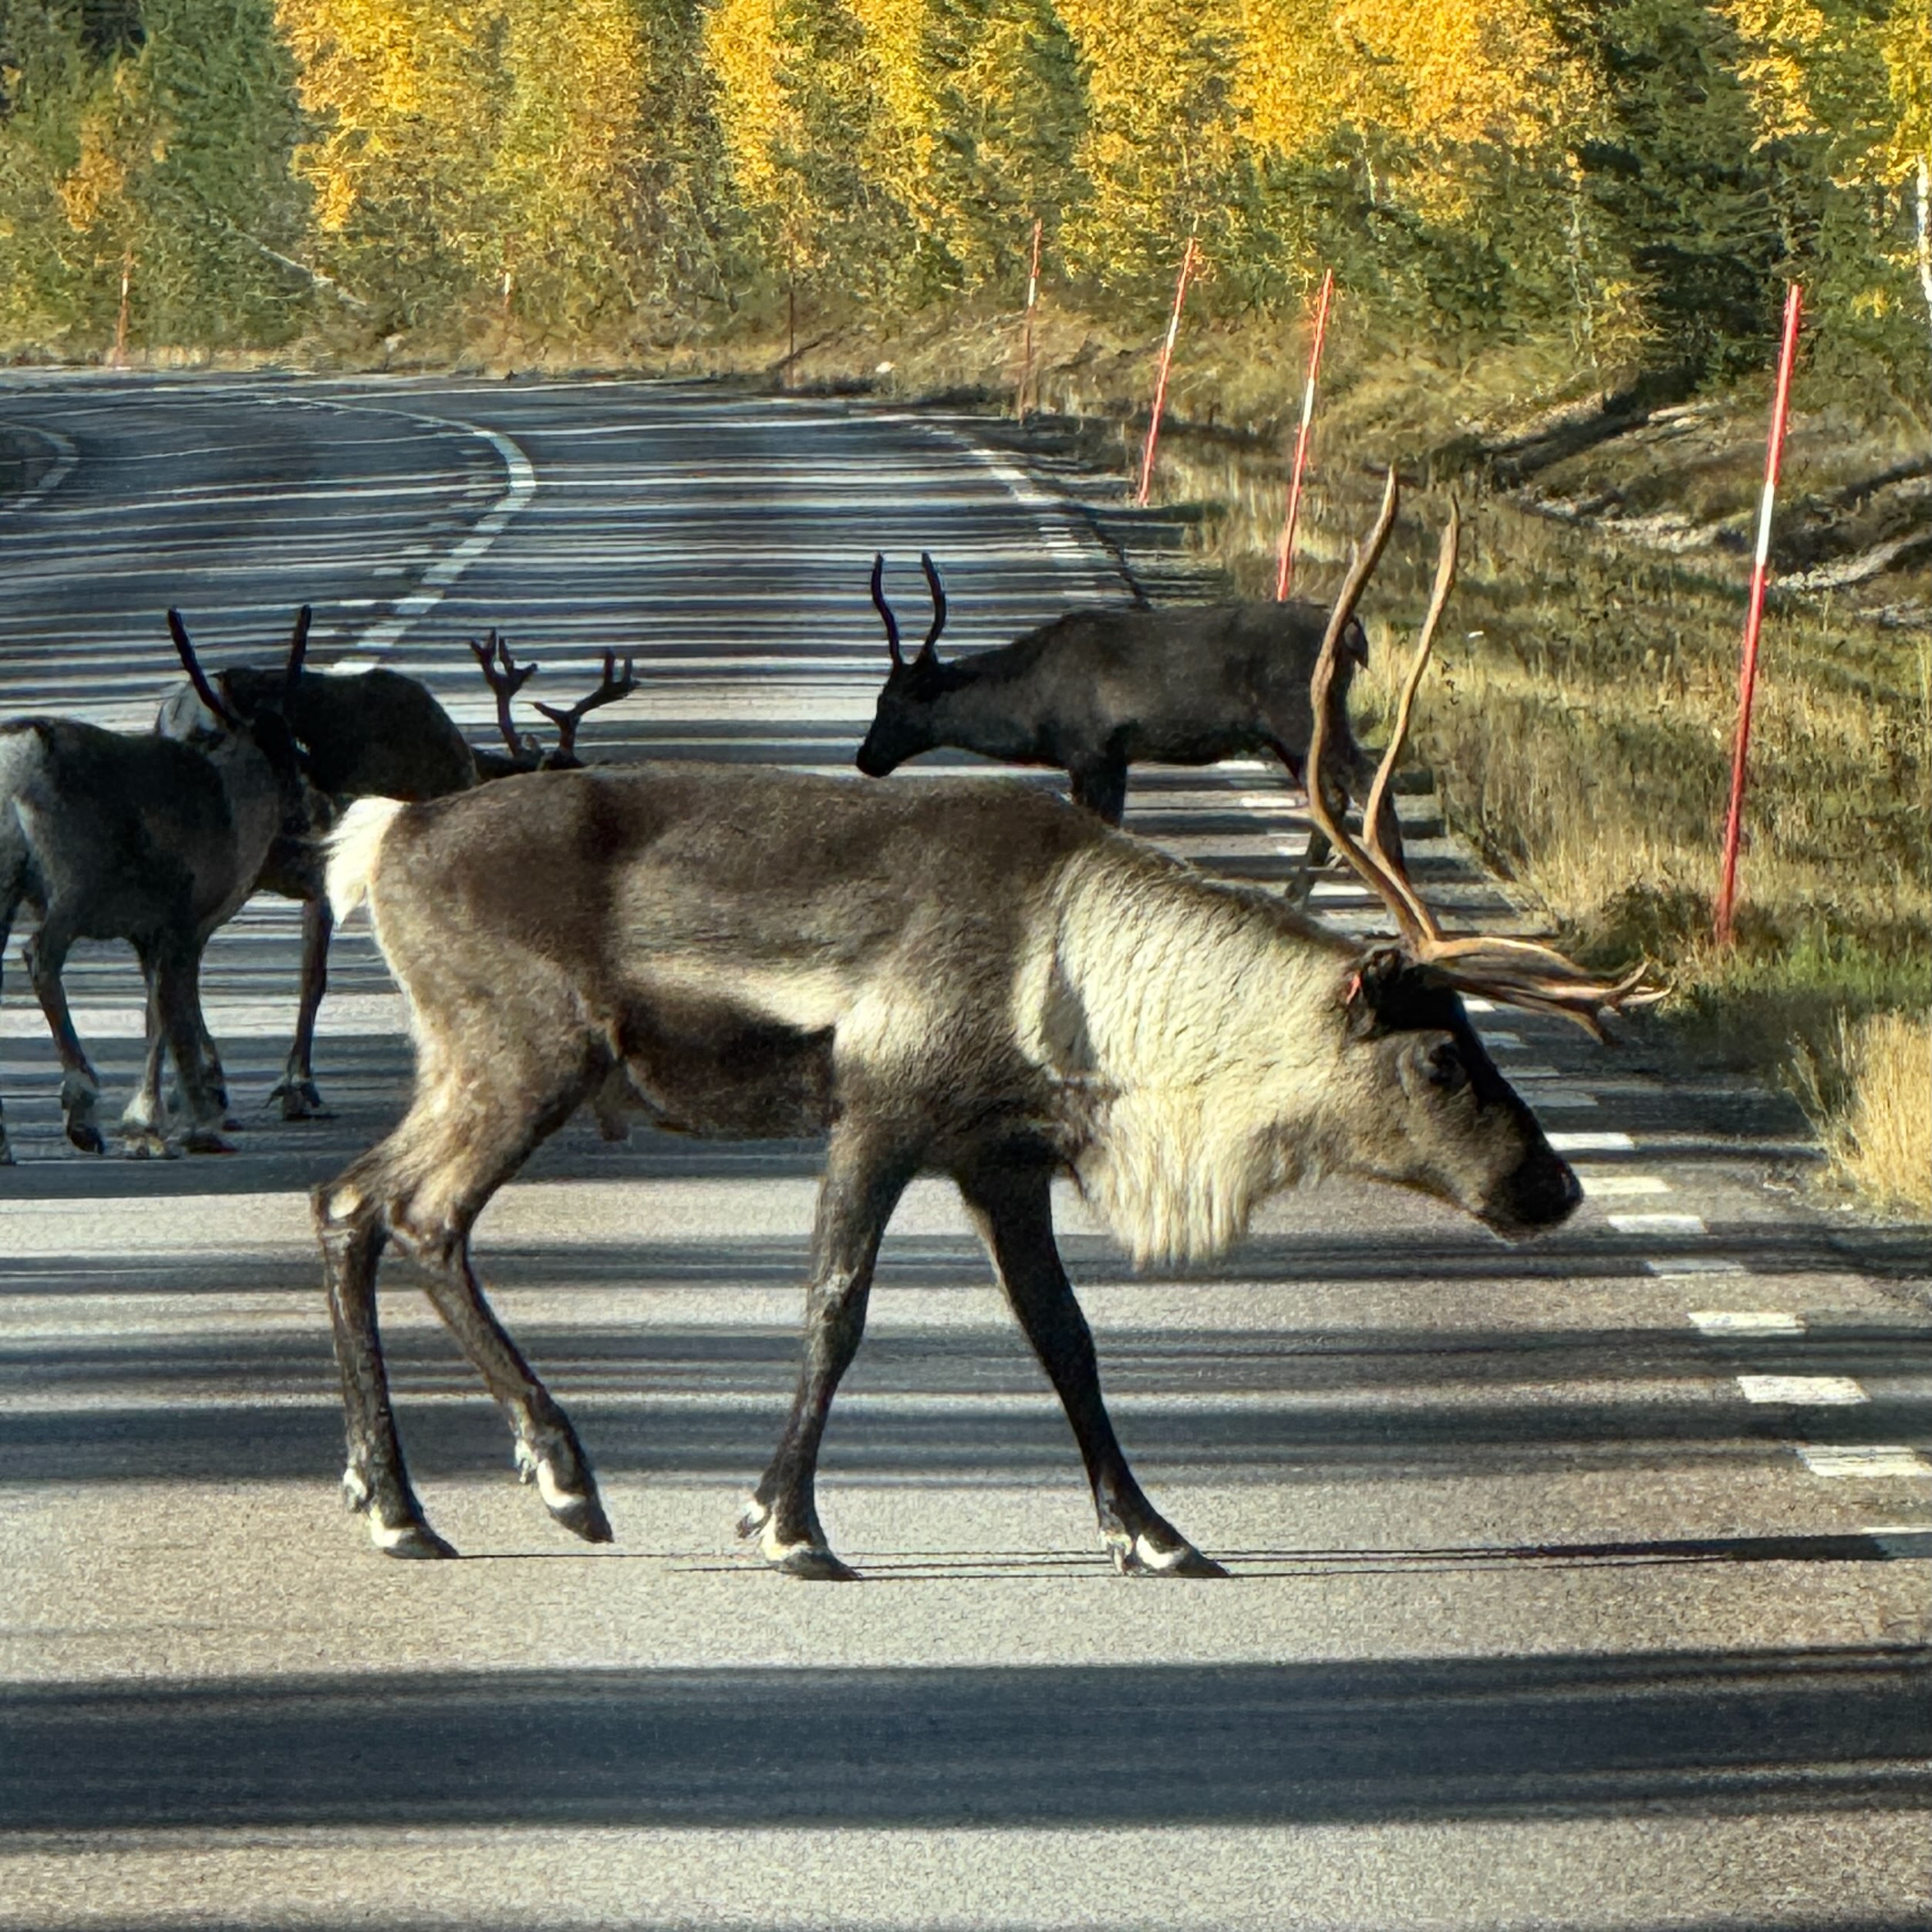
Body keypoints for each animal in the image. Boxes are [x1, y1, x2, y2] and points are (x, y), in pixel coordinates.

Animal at [0, 609, 314, 1163]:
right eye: (288, 750)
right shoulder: (183, 920)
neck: (233, 804)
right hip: (73, 883)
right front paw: (202, 1123)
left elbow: (156, 1014)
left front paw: (150, 1124)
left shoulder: (148, 934)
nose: (303, 814)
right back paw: (81, 1110)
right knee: (41, 957)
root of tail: (18, 757)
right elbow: (179, 1011)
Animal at [855, 554, 1404, 881]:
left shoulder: (1095, 751)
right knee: (1335, 795)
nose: (865, 758)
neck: (1031, 709)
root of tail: (1354, 634)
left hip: (1304, 716)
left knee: (1369, 783)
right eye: (879, 699)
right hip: (1289, 735)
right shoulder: (1101, 760)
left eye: (894, 703)